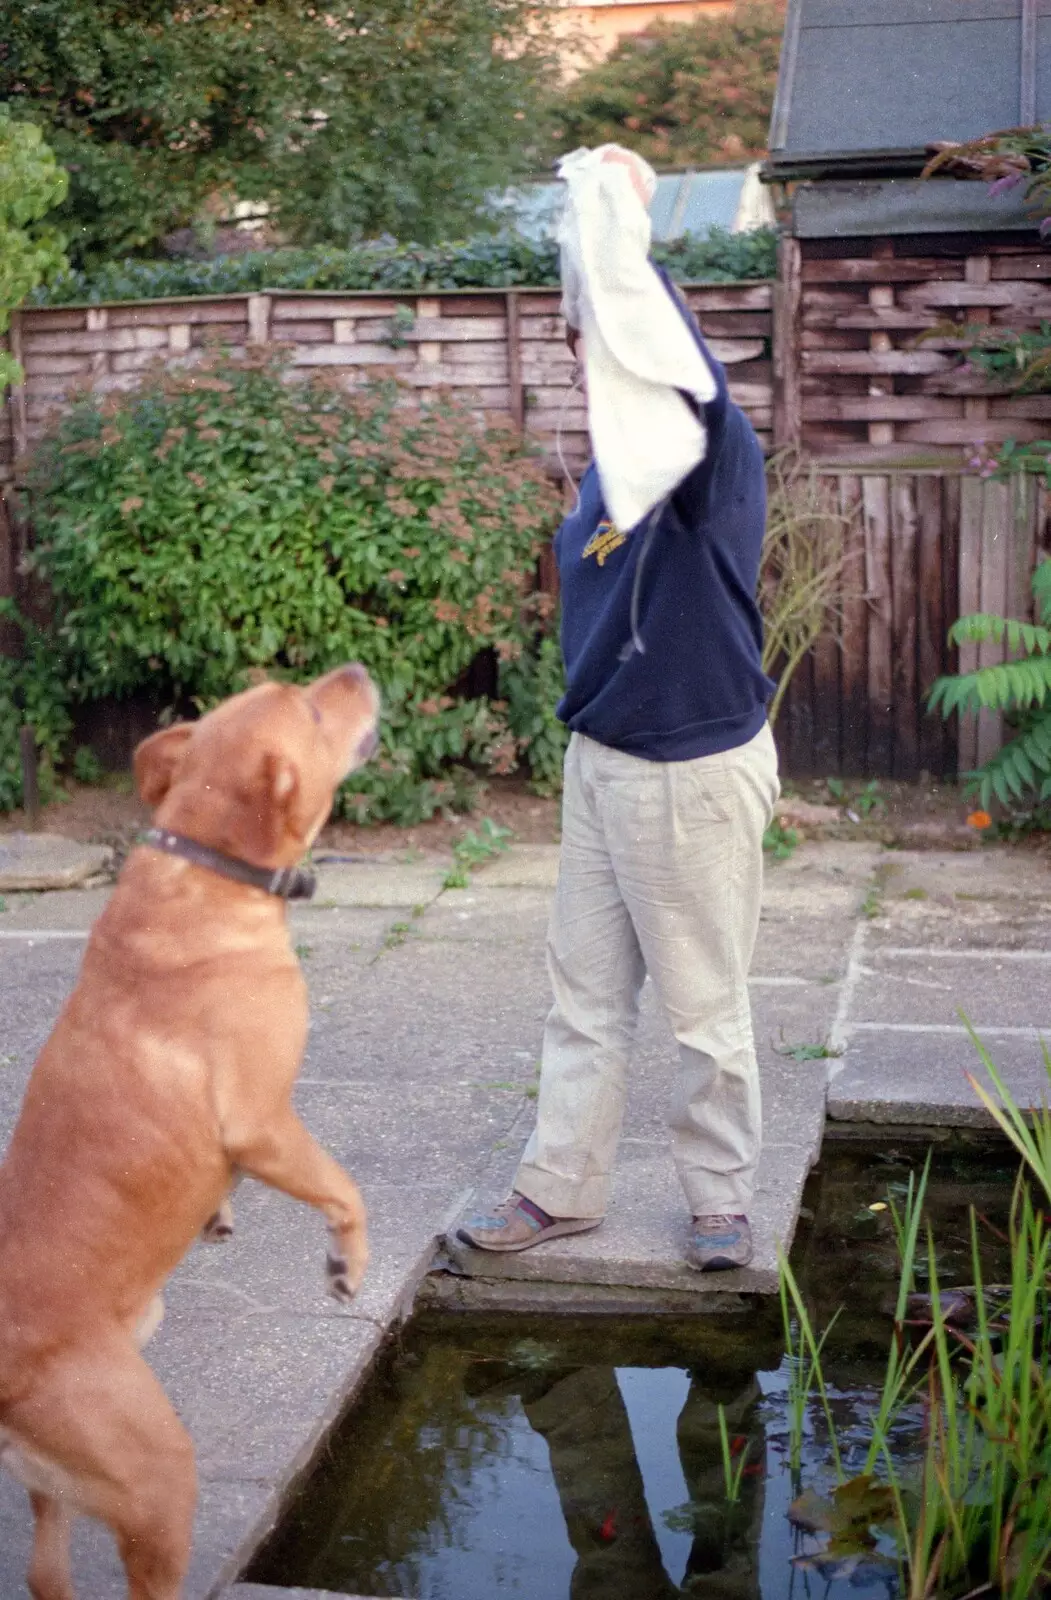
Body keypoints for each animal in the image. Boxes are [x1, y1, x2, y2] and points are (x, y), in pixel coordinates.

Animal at [0, 665, 380, 1600]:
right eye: (312, 707)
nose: (356, 672)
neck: (208, 869)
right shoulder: (264, 1122)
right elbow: (344, 1189)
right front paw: (346, 1265)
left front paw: (222, 1216)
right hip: (157, 1476)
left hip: (55, 1488)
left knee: (46, 1573)